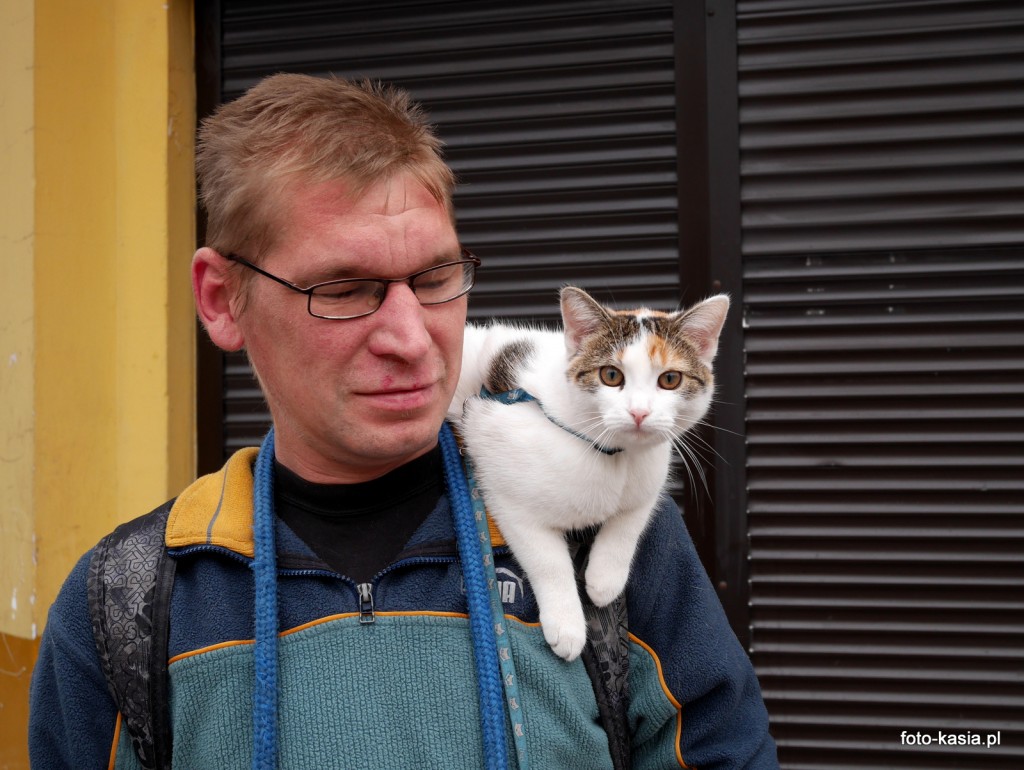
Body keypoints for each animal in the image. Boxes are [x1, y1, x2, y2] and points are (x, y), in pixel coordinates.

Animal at [448, 286, 729, 659]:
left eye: (670, 379)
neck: (612, 456)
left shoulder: (650, 472)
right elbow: (547, 560)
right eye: (611, 376)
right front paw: (567, 625)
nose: (639, 412)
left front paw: (604, 579)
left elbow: (631, 519)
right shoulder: (503, 486)